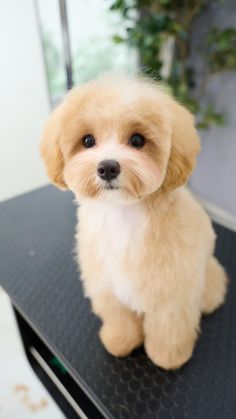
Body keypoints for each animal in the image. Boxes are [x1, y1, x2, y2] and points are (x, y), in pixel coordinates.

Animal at [40, 75, 227, 370]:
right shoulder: (106, 285)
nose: (107, 167)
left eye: (138, 140)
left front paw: (168, 356)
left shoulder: (172, 293)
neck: (123, 214)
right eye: (88, 140)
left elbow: (169, 328)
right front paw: (120, 342)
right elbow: (119, 318)